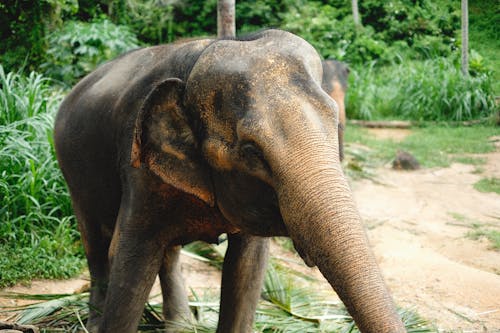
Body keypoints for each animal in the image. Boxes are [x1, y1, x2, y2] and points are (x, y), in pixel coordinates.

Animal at [54, 29, 406, 332]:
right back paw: (95, 322)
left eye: (335, 126)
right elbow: (130, 262)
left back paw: (182, 326)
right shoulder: (138, 168)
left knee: (167, 253)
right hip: (71, 170)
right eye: (252, 151)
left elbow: (246, 268)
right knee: (95, 245)